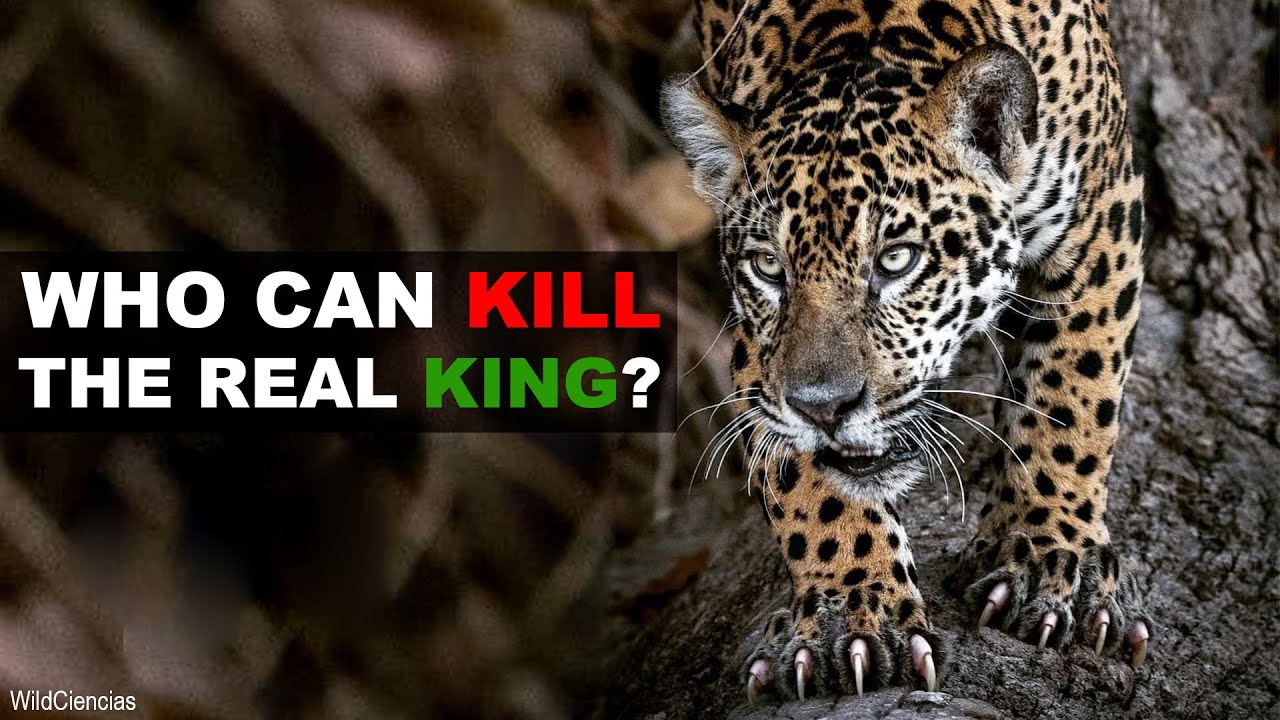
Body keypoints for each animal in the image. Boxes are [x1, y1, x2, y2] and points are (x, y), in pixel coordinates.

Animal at [661, 0, 1152, 702]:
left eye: (896, 260)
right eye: (769, 268)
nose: (825, 408)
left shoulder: (1100, 215)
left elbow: (1073, 398)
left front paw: (1054, 557)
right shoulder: (758, 350)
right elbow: (809, 480)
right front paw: (850, 615)